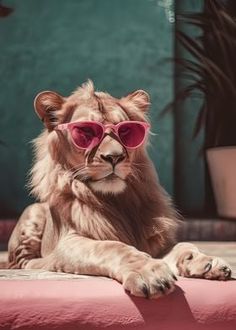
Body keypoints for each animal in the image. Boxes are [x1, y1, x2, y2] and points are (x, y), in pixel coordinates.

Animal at [8, 81, 231, 298]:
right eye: (86, 131)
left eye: (125, 131)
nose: (114, 157)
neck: (117, 201)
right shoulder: (68, 241)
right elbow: (111, 247)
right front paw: (149, 273)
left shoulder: (155, 241)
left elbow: (183, 245)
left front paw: (206, 261)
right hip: (33, 214)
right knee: (21, 262)